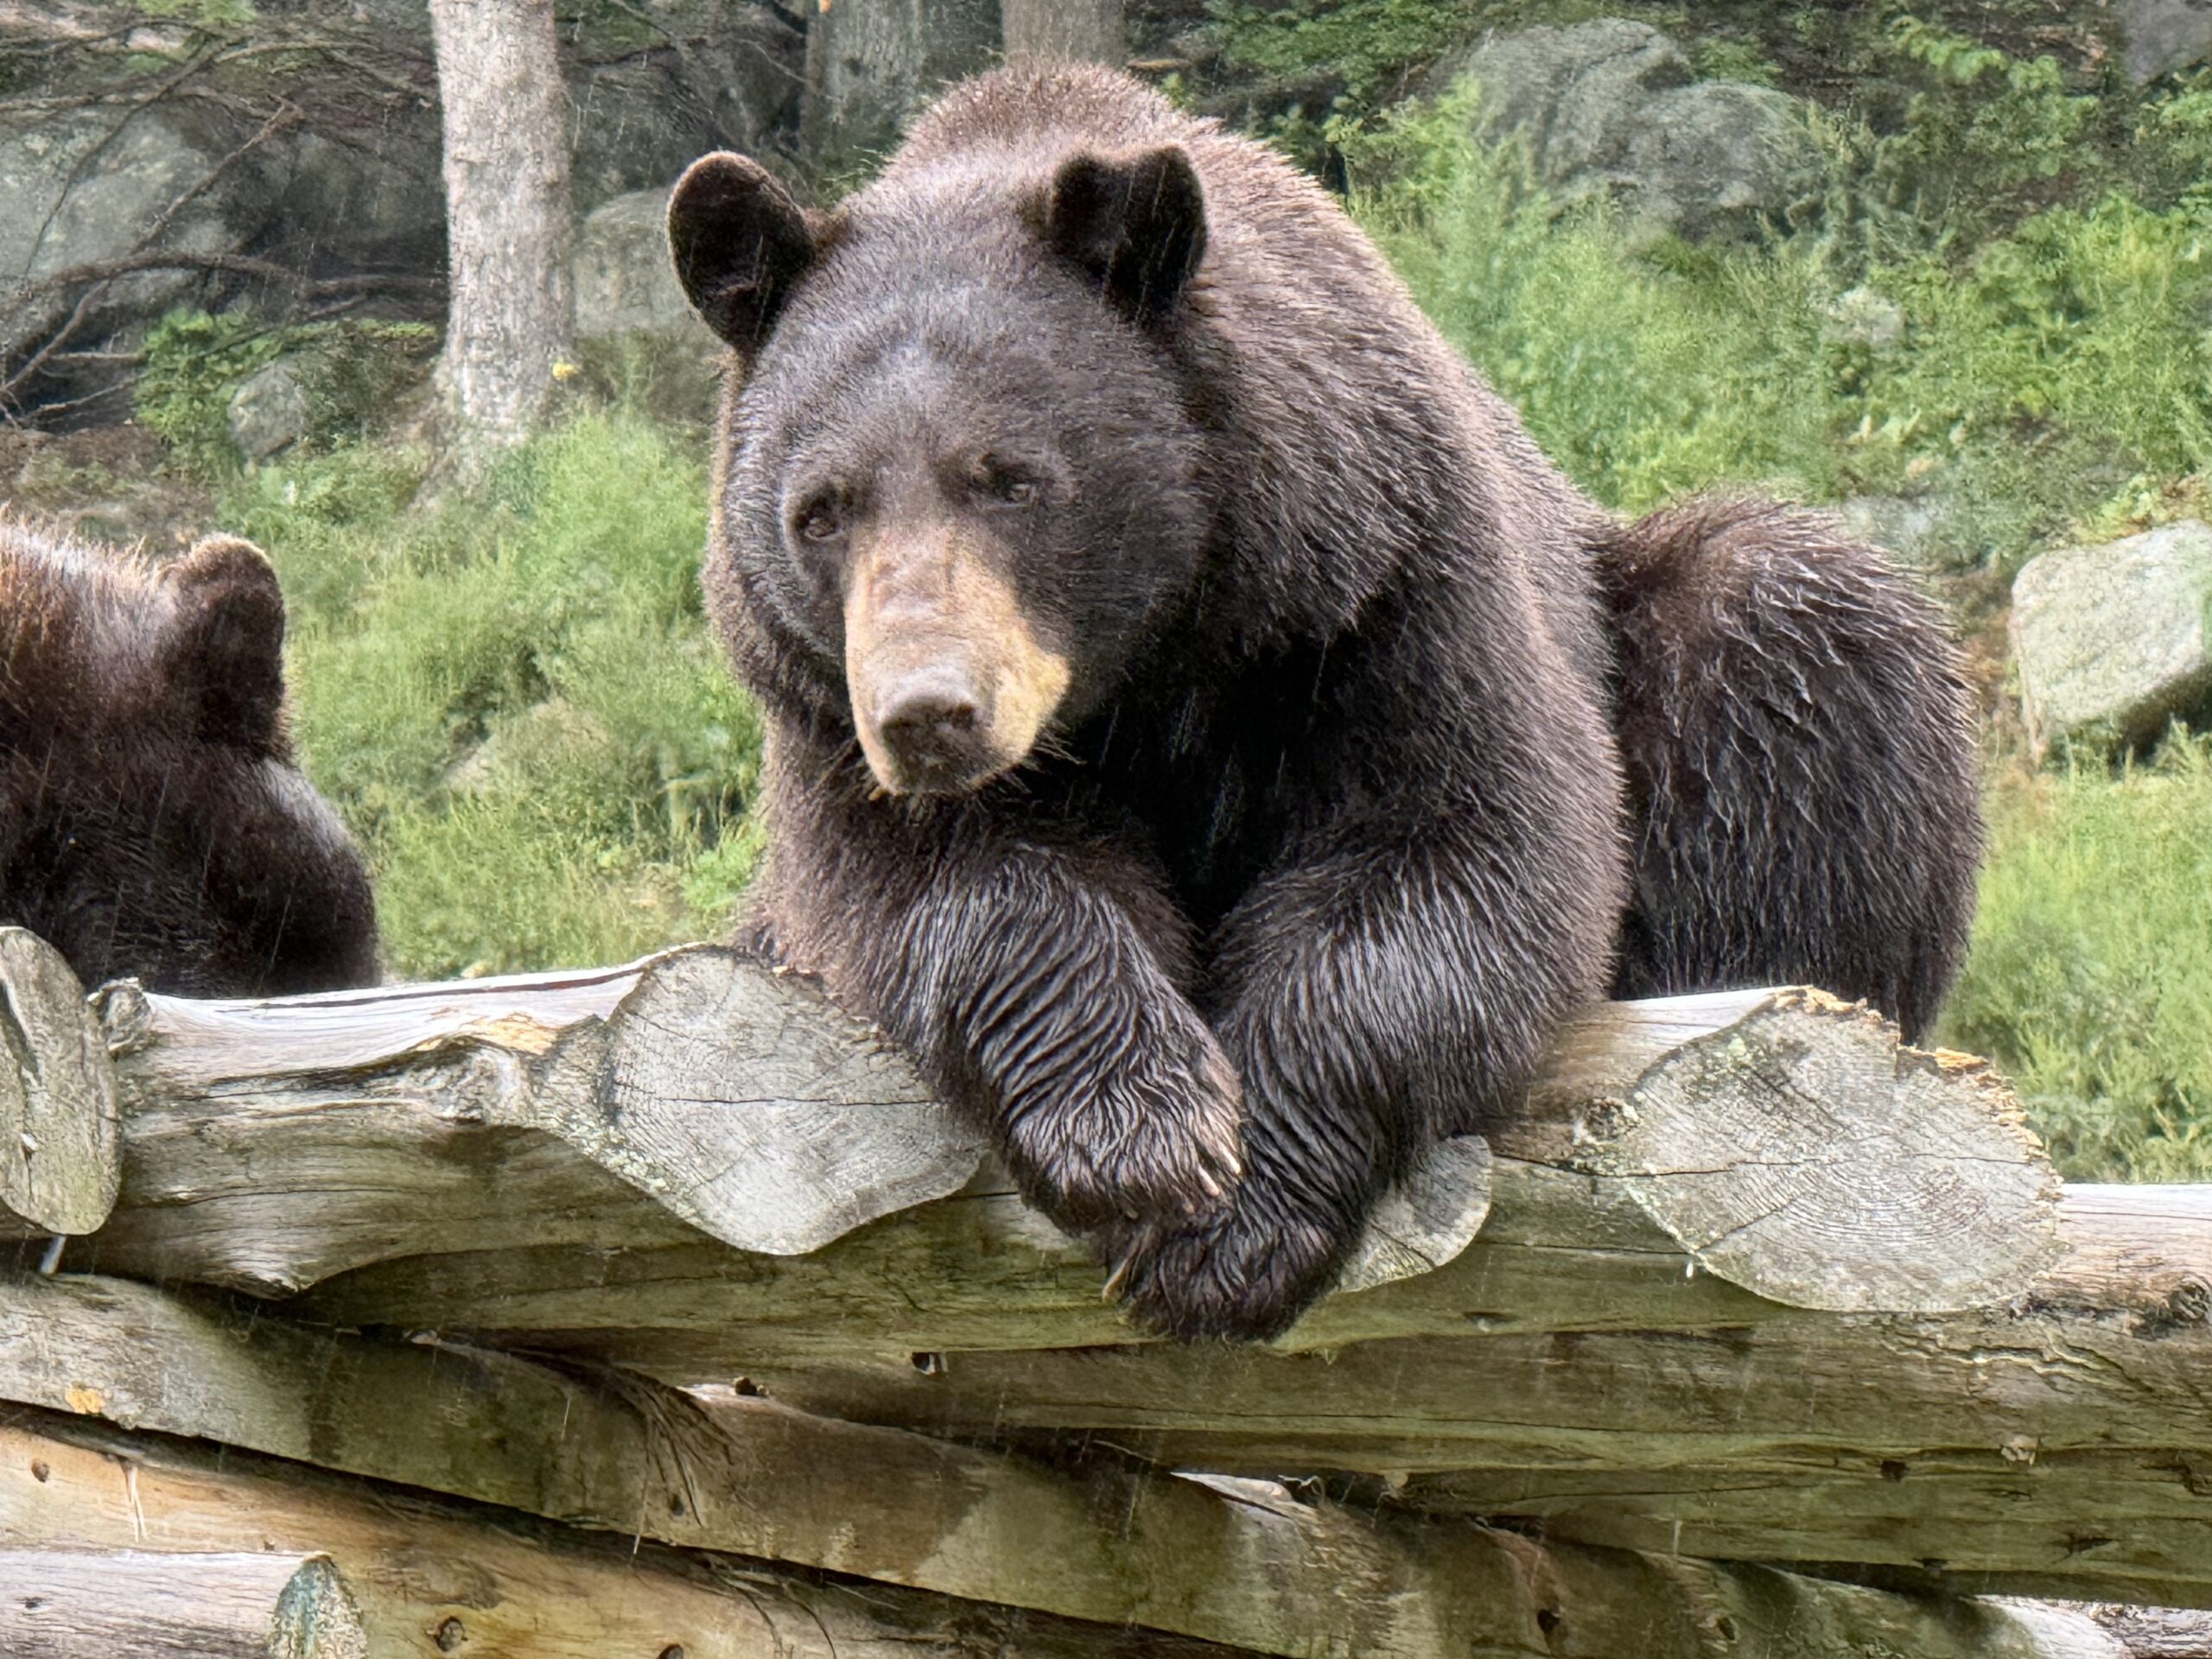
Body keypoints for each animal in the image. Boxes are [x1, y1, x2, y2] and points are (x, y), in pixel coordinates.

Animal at [665, 63, 1982, 1340]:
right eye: (820, 509)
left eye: (1011, 478)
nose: (930, 715)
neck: (1167, 654)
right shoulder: (820, 714)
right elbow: (946, 888)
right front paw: (1138, 1132)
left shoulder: (1380, 586)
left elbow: (1457, 850)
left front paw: (1236, 1221)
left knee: (1801, 651)